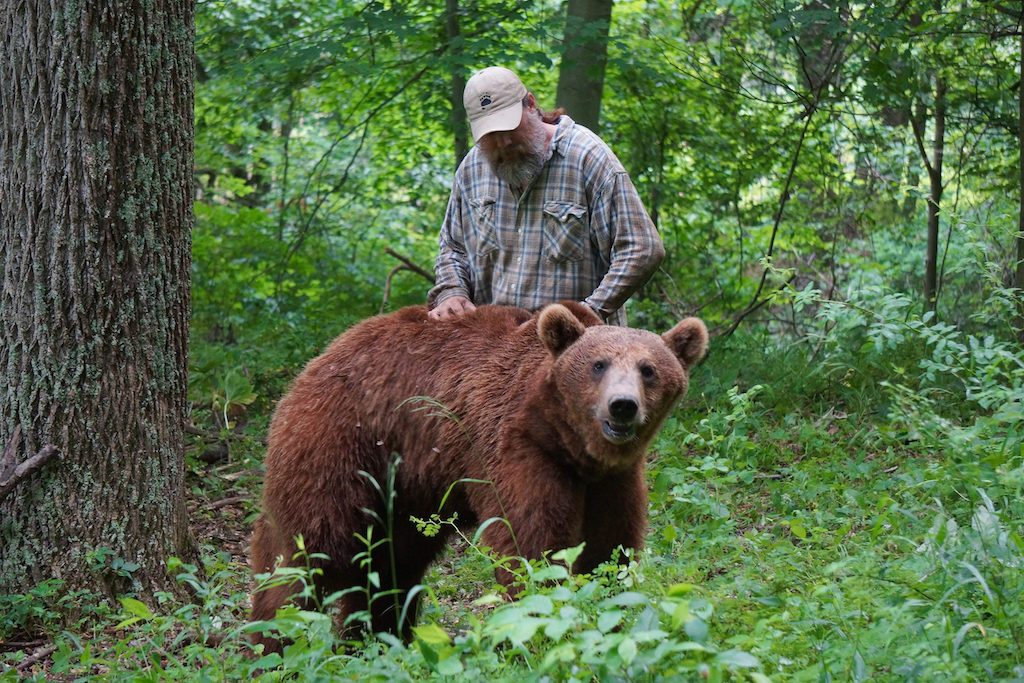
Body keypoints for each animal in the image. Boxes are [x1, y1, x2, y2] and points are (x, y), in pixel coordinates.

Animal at [248, 302, 708, 653]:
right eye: (599, 364)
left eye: (648, 369)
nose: (622, 406)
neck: (572, 446)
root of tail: (313, 364)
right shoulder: (516, 449)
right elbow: (532, 547)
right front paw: (540, 627)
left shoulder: (612, 481)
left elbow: (610, 549)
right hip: (341, 444)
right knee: (308, 550)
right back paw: (275, 643)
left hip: (409, 490)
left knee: (392, 564)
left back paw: (377, 639)